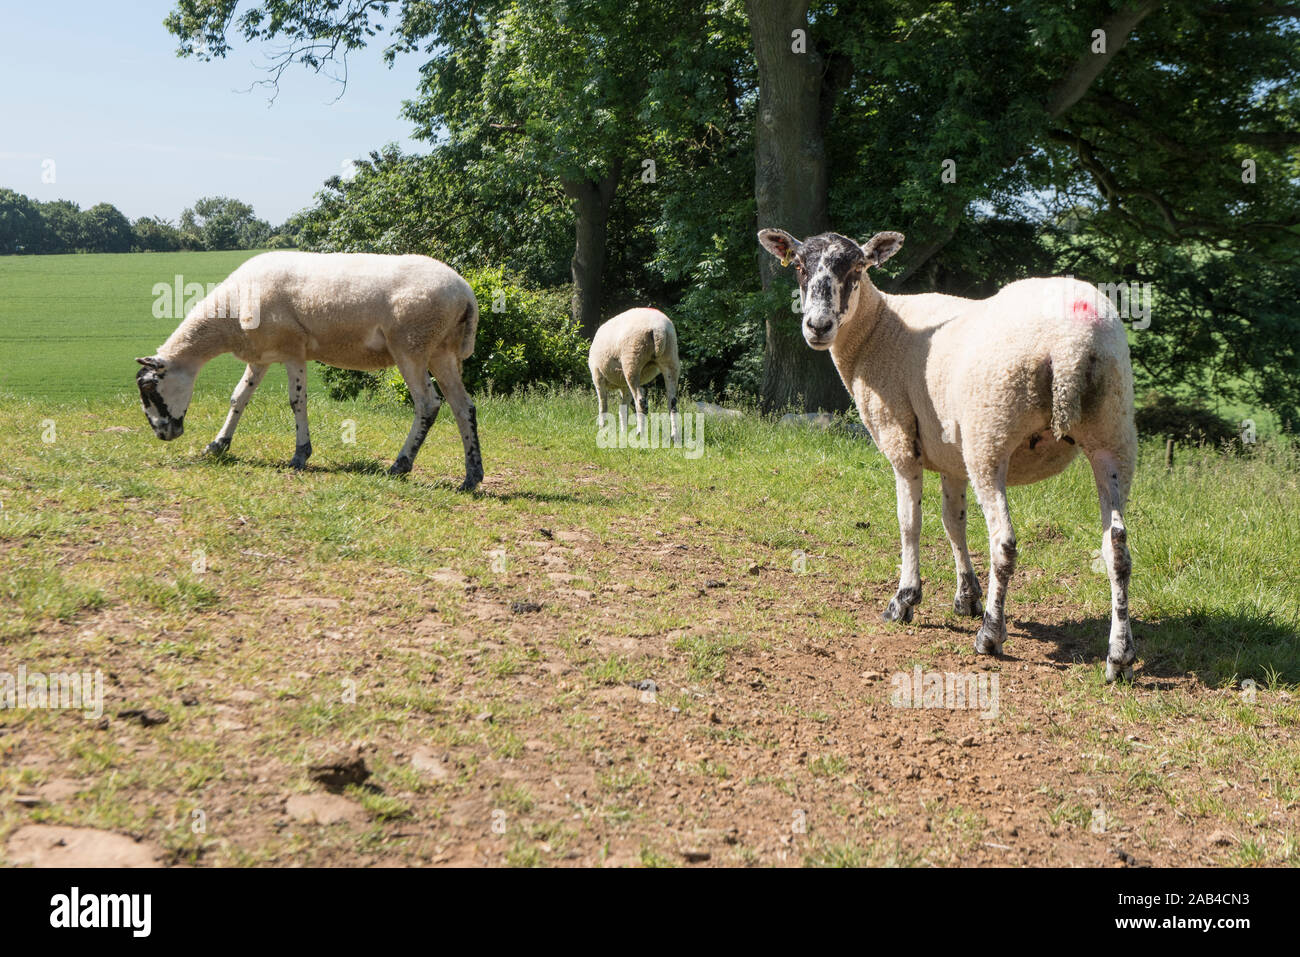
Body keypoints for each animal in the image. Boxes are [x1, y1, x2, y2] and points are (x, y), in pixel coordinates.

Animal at [134, 251, 484, 490]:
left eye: (149, 389)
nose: (164, 433)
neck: (228, 314)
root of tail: (466, 293)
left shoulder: (293, 350)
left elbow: (296, 401)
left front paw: (300, 455)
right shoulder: (261, 356)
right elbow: (238, 398)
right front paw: (217, 445)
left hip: (411, 345)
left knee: (428, 403)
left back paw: (401, 465)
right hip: (442, 351)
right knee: (463, 406)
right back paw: (472, 477)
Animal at [589, 307, 681, 442]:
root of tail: (659, 330)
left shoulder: (598, 376)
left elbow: (603, 405)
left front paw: (602, 428)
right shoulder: (624, 386)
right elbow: (623, 408)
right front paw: (623, 432)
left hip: (632, 360)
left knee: (641, 402)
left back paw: (640, 434)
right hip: (671, 359)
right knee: (672, 403)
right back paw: (675, 436)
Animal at [758, 228, 1138, 681]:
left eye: (856, 269)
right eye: (799, 266)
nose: (818, 326)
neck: (879, 330)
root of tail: (1071, 344)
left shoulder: (900, 440)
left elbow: (910, 523)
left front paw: (905, 599)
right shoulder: (950, 456)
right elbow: (953, 523)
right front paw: (967, 597)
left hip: (990, 436)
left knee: (1004, 543)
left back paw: (990, 635)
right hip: (1112, 433)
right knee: (1118, 548)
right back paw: (1120, 655)